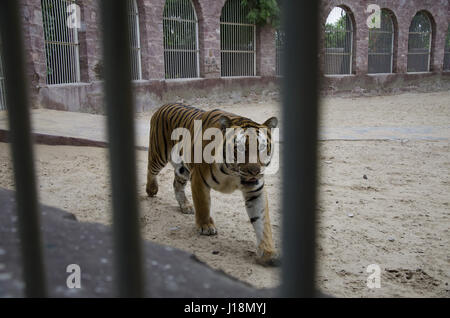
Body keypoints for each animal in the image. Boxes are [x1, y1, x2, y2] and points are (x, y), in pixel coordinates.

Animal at [146, 102, 280, 266]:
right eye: (241, 148)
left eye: (261, 147)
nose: (254, 171)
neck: (232, 173)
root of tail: (164, 105)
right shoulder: (199, 179)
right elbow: (203, 205)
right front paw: (206, 227)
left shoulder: (255, 190)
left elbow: (262, 221)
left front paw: (268, 252)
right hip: (158, 154)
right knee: (151, 170)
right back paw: (151, 189)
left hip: (183, 169)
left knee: (176, 183)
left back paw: (186, 206)